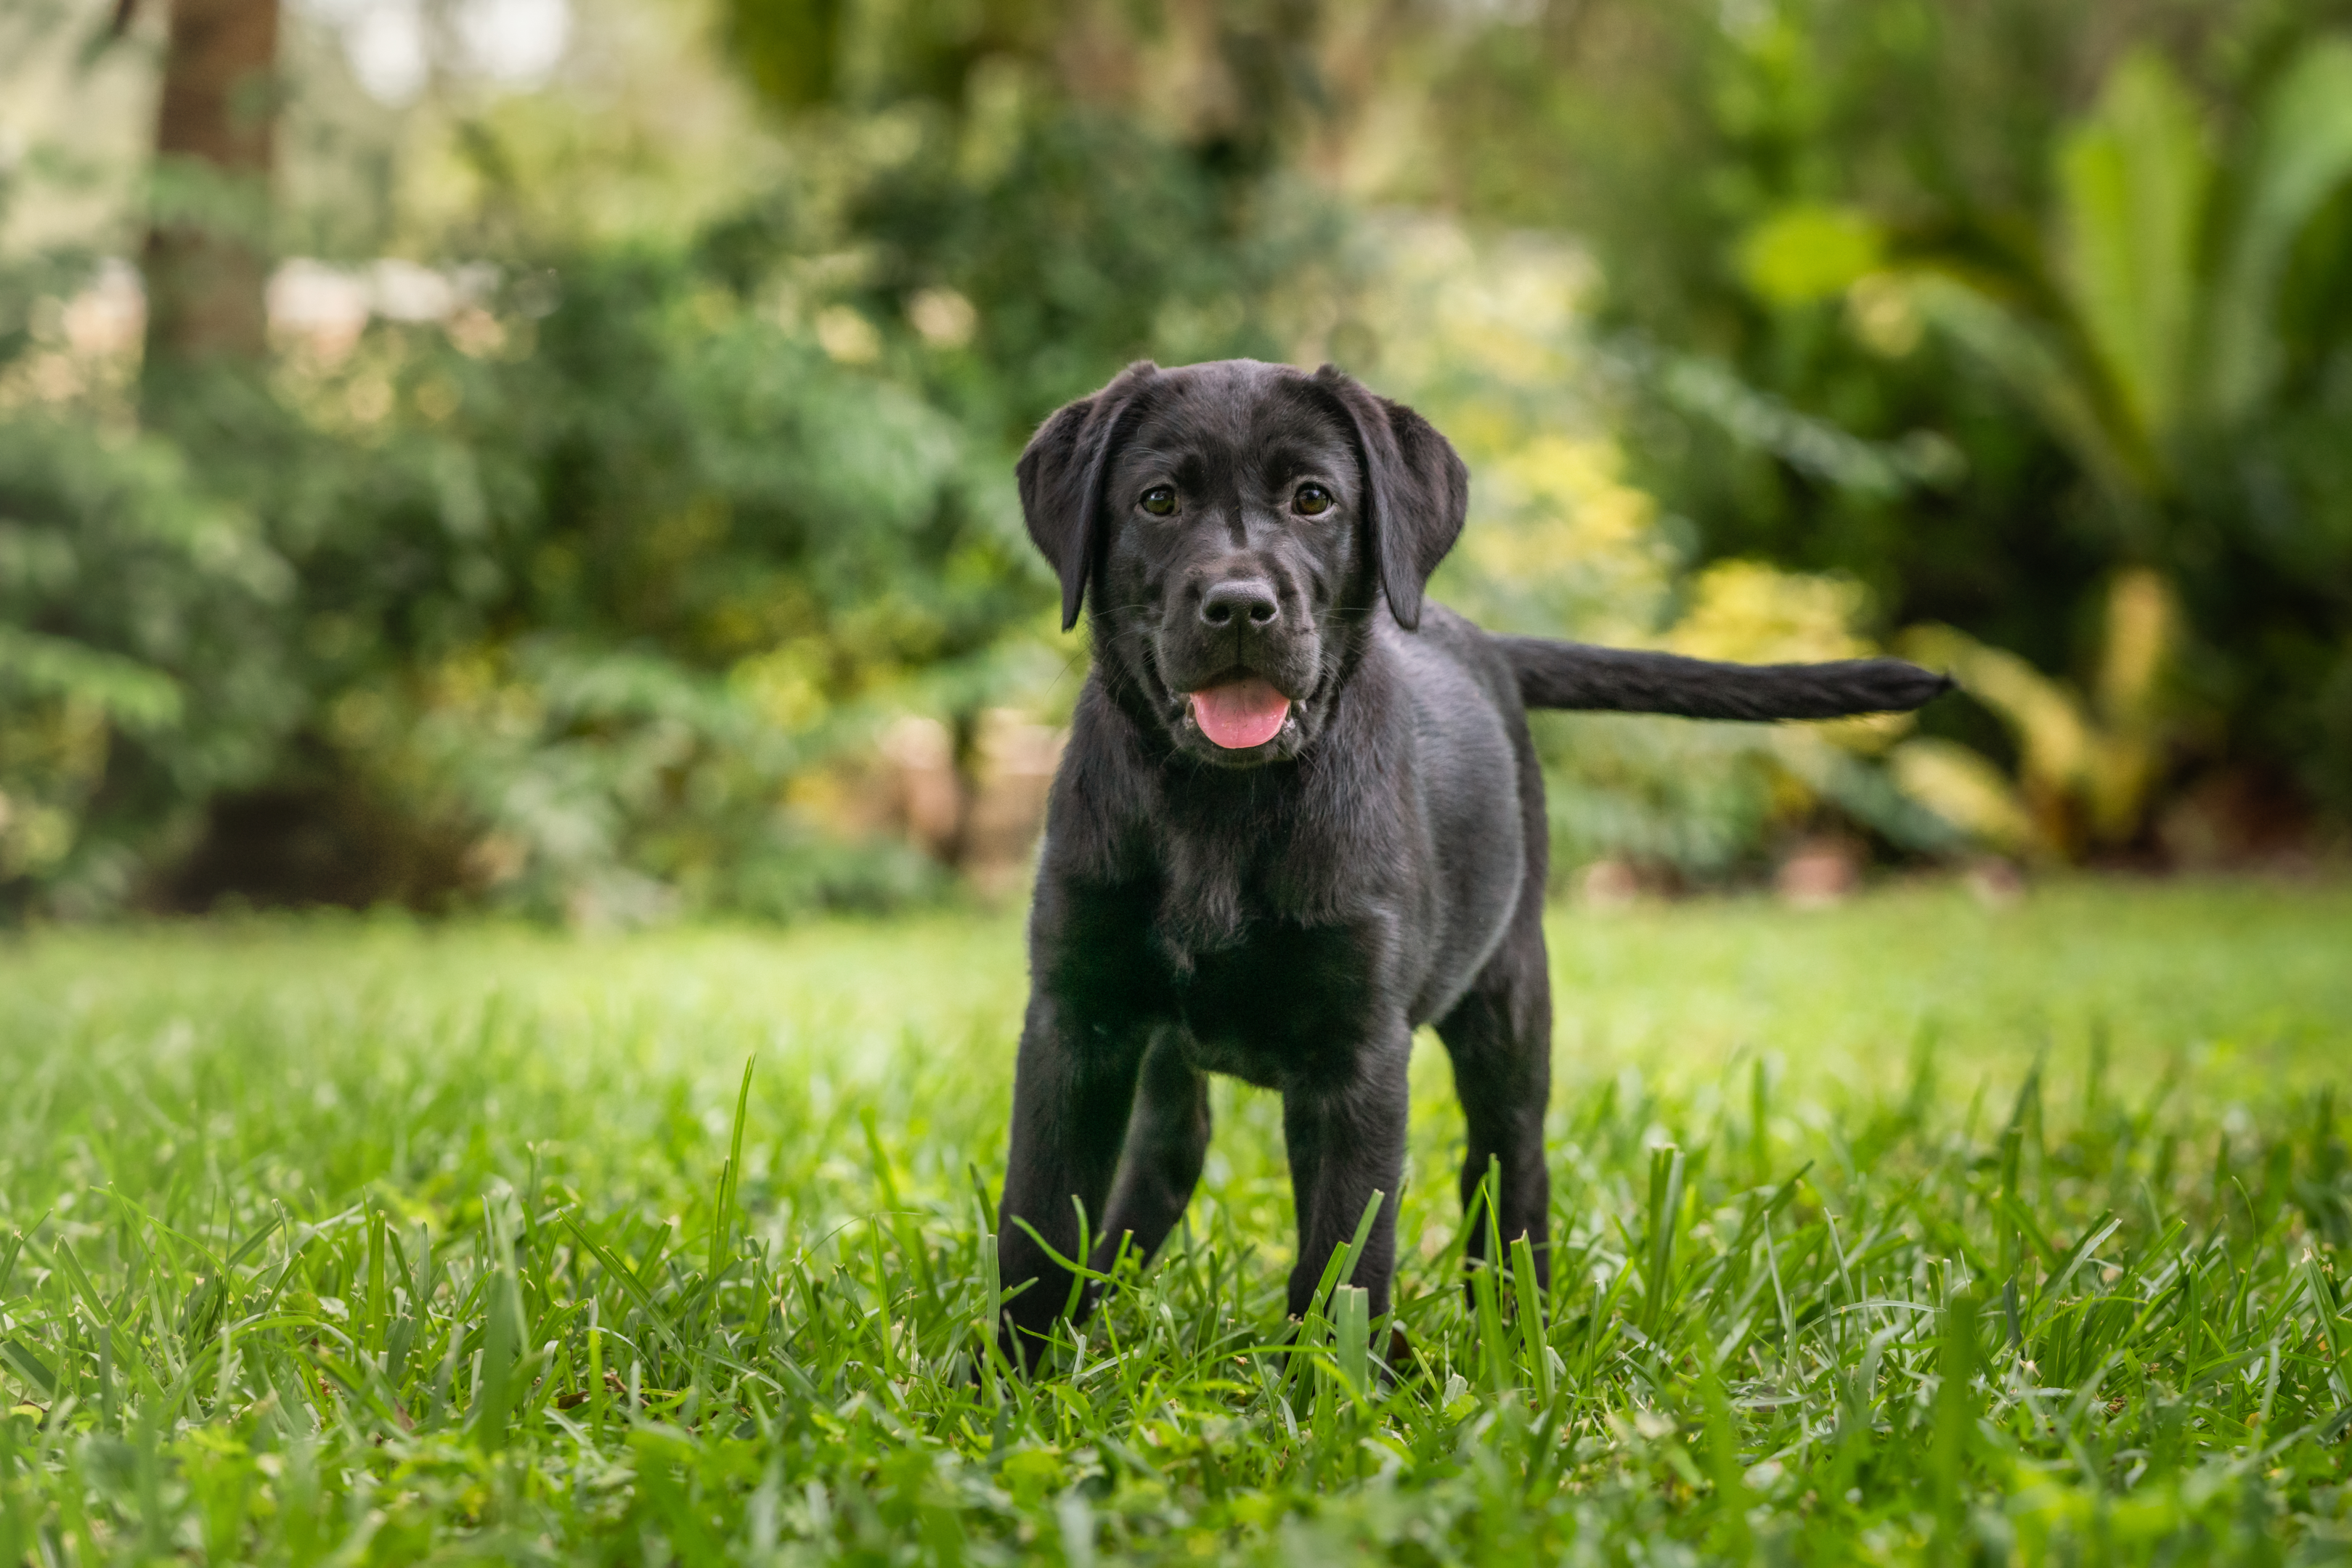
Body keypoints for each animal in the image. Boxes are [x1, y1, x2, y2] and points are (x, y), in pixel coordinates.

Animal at [992, 354, 1947, 1363]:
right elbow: (1039, 1224)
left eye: (1312, 499)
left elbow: (1341, 1259)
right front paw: (1012, 1375)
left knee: (1508, 1169)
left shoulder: (1357, 1056)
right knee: (1167, 1156)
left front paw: (1329, 1390)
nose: (1240, 605)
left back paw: (1515, 1338)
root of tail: (1481, 640)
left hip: (1509, 995)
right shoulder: (1076, 1018)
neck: (1219, 806)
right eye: (1158, 500)